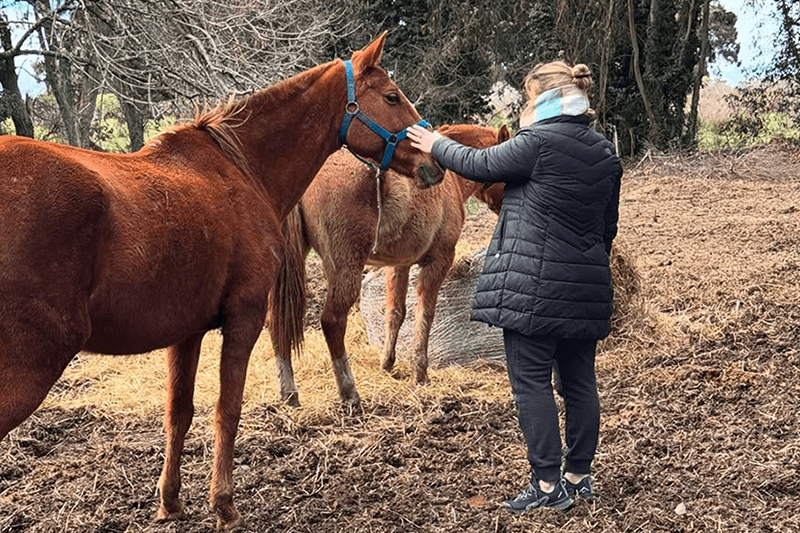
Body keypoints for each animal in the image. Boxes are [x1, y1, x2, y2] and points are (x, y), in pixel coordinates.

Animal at [0, 33, 443, 530]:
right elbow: (227, 410)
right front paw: (224, 504)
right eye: (392, 97)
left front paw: (170, 501)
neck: (240, 168)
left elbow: (179, 412)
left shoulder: (186, 332)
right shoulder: (243, 319)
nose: (434, 162)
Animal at [268, 124, 509, 408]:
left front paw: (388, 363)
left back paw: (289, 393)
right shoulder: (438, 262)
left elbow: (396, 313)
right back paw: (349, 392)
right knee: (332, 321)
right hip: (346, 269)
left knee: (275, 322)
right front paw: (420, 372)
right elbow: (424, 314)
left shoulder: (398, 266)